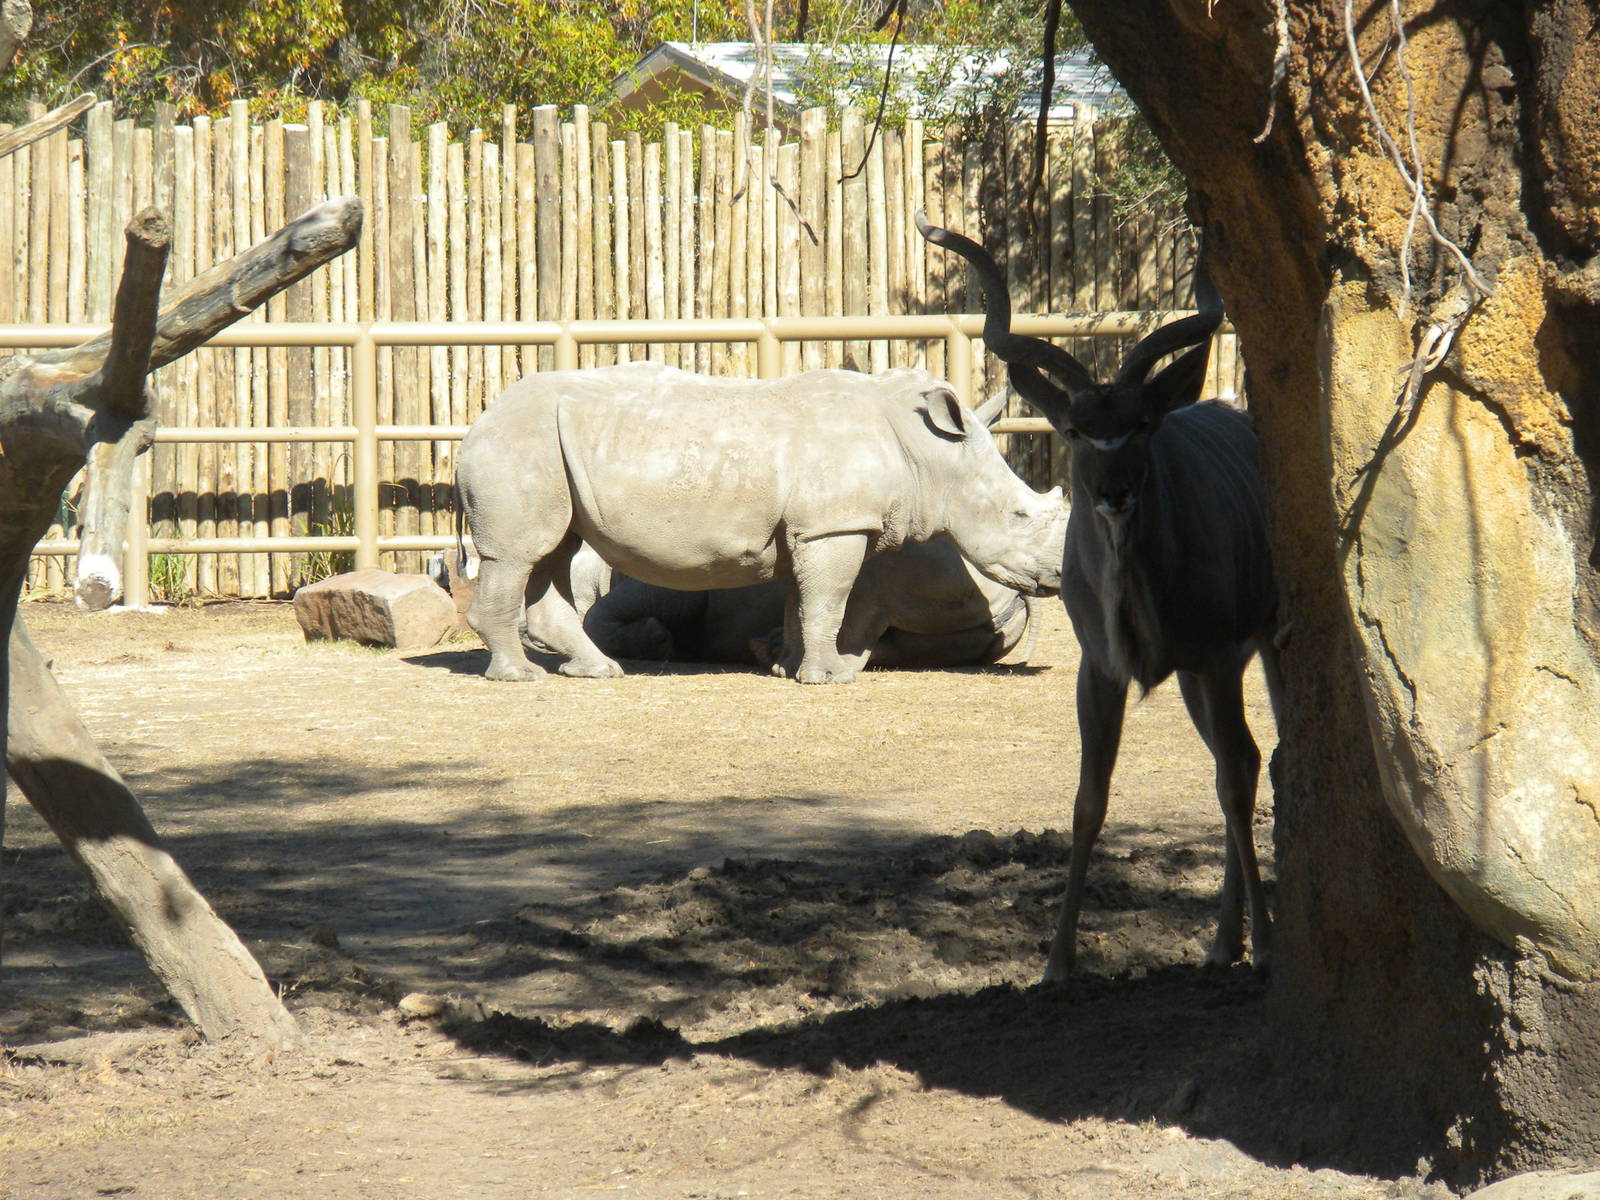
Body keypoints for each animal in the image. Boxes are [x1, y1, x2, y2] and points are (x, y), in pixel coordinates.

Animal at [454, 361, 1065, 684]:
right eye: (1018, 515)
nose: (1060, 577)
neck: (932, 454)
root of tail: (476, 423)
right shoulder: (836, 525)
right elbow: (830, 600)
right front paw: (825, 679)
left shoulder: (812, 528)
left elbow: (803, 601)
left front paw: (788, 668)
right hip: (521, 444)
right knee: (519, 555)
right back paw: (521, 677)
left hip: (547, 450)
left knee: (552, 552)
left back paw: (597, 671)